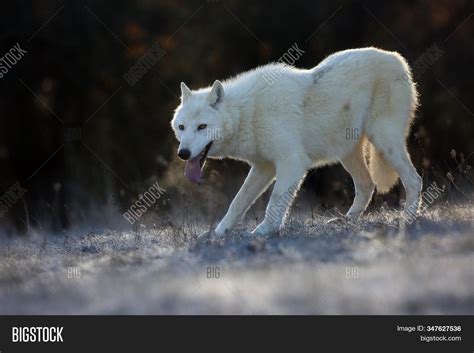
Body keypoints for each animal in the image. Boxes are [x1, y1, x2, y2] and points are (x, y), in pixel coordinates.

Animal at [171, 46, 422, 234]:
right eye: (182, 127)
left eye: (202, 127)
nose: (183, 154)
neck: (249, 112)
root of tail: (397, 58)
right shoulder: (263, 168)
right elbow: (237, 202)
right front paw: (218, 233)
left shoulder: (292, 163)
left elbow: (275, 202)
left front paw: (263, 232)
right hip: (348, 153)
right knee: (367, 185)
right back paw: (346, 221)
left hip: (385, 142)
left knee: (414, 180)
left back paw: (407, 220)